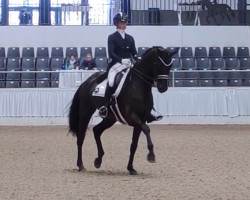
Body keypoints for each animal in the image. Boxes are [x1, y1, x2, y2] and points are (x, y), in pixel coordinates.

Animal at [67, 47, 179, 175]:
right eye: (156, 63)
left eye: (170, 65)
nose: (162, 87)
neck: (138, 86)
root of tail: (87, 82)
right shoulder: (133, 118)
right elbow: (146, 129)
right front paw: (151, 156)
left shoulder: (140, 121)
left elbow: (134, 145)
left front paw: (131, 168)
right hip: (85, 112)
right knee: (81, 137)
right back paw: (81, 165)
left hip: (110, 118)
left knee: (97, 131)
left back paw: (98, 160)